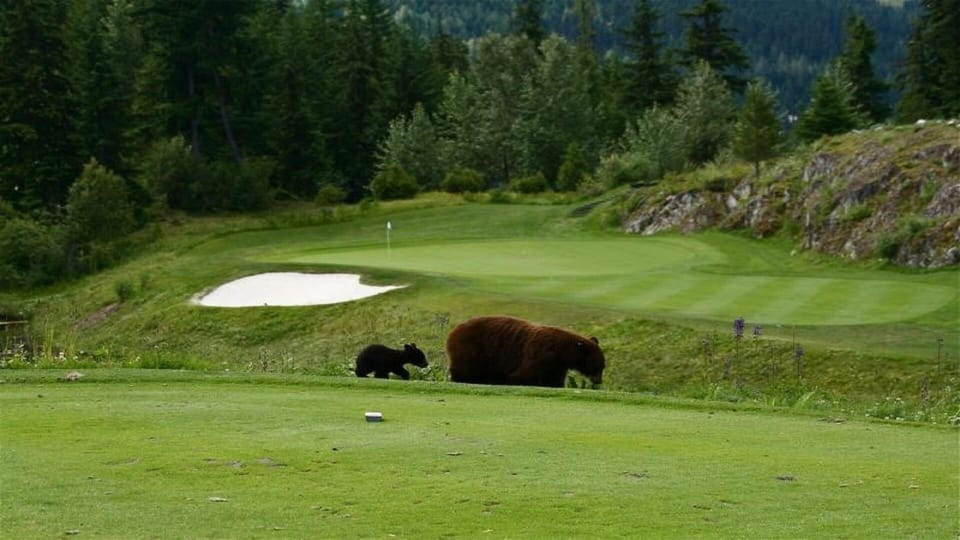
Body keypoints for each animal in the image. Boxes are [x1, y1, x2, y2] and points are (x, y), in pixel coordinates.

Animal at [445, 316, 605, 388]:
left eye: (602, 366)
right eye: (598, 366)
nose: (598, 381)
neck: (563, 352)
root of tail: (453, 330)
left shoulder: (557, 366)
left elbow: (555, 380)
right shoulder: (541, 354)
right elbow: (524, 374)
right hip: (472, 349)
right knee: (466, 368)